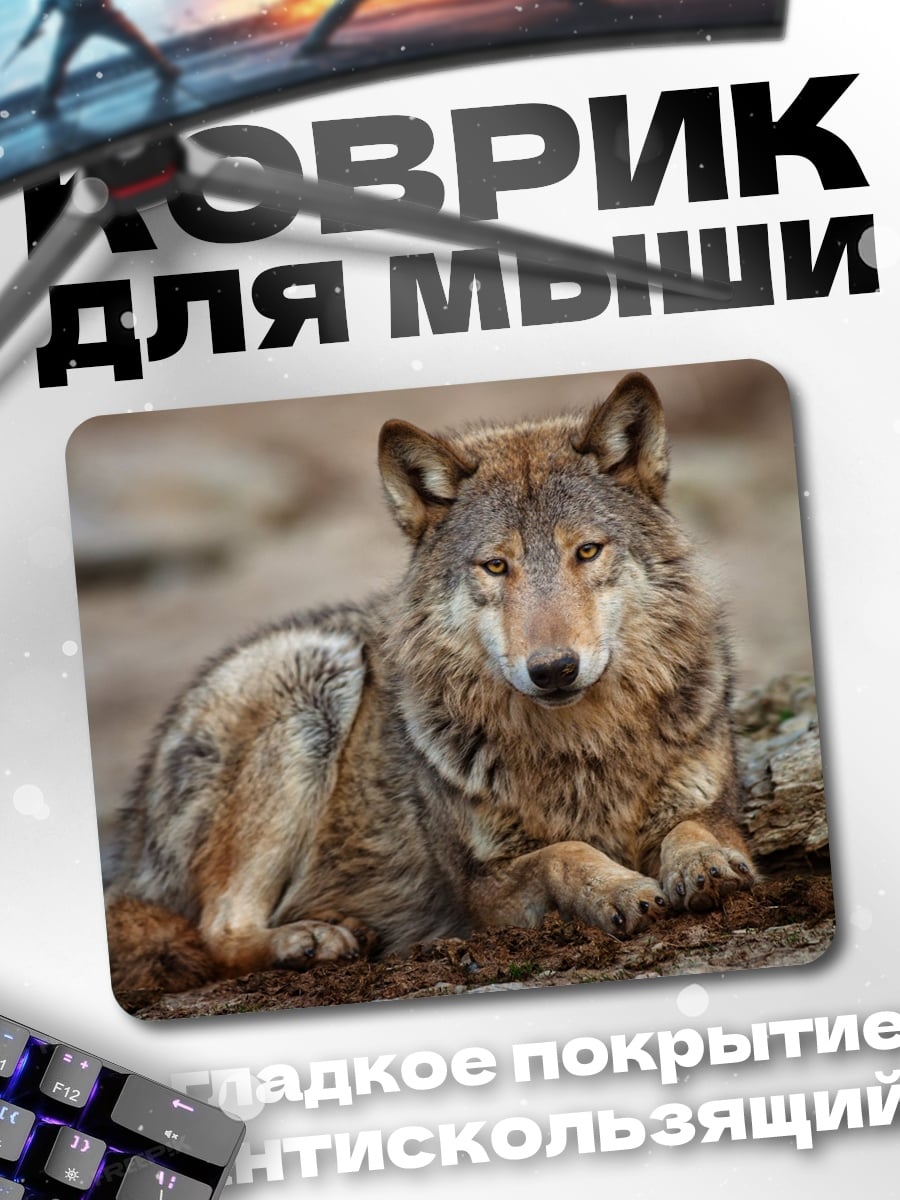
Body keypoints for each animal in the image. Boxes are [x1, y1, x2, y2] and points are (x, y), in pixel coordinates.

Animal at [105, 372, 754, 992]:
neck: (580, 747)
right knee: (217, 931)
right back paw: (312, 940)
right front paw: (620, 890)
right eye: (496, 566)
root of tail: (134, 833)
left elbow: (693, 829)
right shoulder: (482, 890)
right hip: (316, 676)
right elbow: (565, 853)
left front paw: (706, 866)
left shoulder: (715, 807)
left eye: (587, 551)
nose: (553, 669)